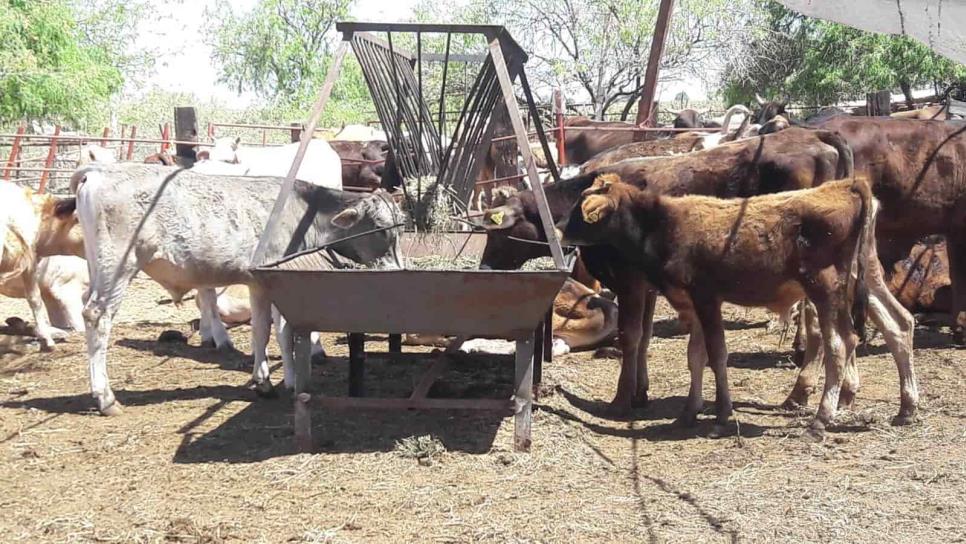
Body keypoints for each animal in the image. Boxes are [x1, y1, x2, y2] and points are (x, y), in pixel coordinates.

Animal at [68, 163, 400, 416]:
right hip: (118, 266)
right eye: (380, 229)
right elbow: (280, 332)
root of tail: (96, 171)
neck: (304, 212)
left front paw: (267, 380)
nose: (397, 269)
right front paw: (281, 382)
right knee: (98, 316)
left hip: (97, 265)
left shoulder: (259, 284)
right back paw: (106, 398)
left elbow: (262, 331)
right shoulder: (273, 277)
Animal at [556, 174, 920, 438]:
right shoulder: (691, 302)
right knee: (898, 324)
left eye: (579, 209)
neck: (664, 224)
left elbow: (717, 354)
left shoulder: (706, 297)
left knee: (840, 343)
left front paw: (721, 415)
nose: (558, 230)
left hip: (825, 288)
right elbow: (695, 356)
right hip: (864, 277)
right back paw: (907, 407)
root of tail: (846, 184)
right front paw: (689, 412)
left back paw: (821, 419)